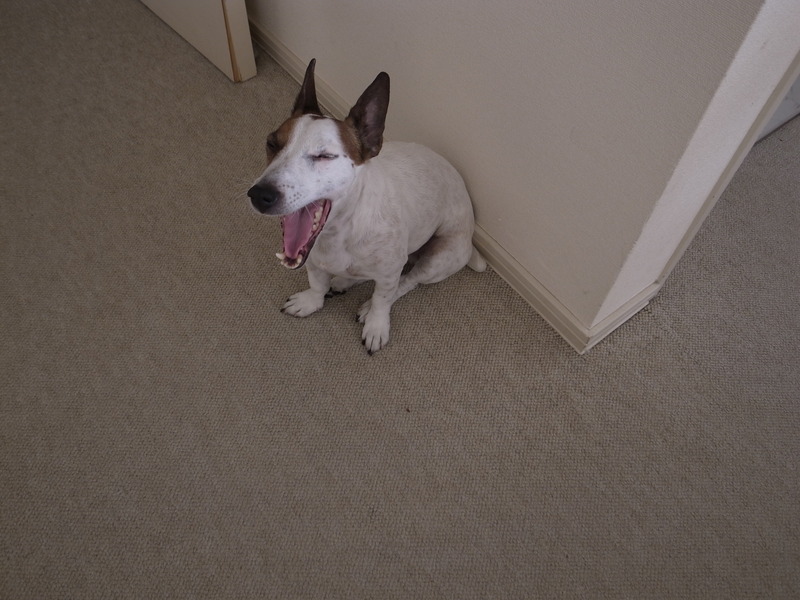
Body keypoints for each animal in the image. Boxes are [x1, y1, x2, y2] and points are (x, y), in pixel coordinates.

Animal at [248, 59, 486, 354]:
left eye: (324, 156)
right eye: (272, 143)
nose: (259, 194)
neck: (340, 231)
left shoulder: (390, 272)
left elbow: (384, 299)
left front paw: (375, 323)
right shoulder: (313, 261)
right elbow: (316, 285)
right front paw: (311, 301)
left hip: (440, 257)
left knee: (408, 280)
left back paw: (367, 303)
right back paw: (342, 281)